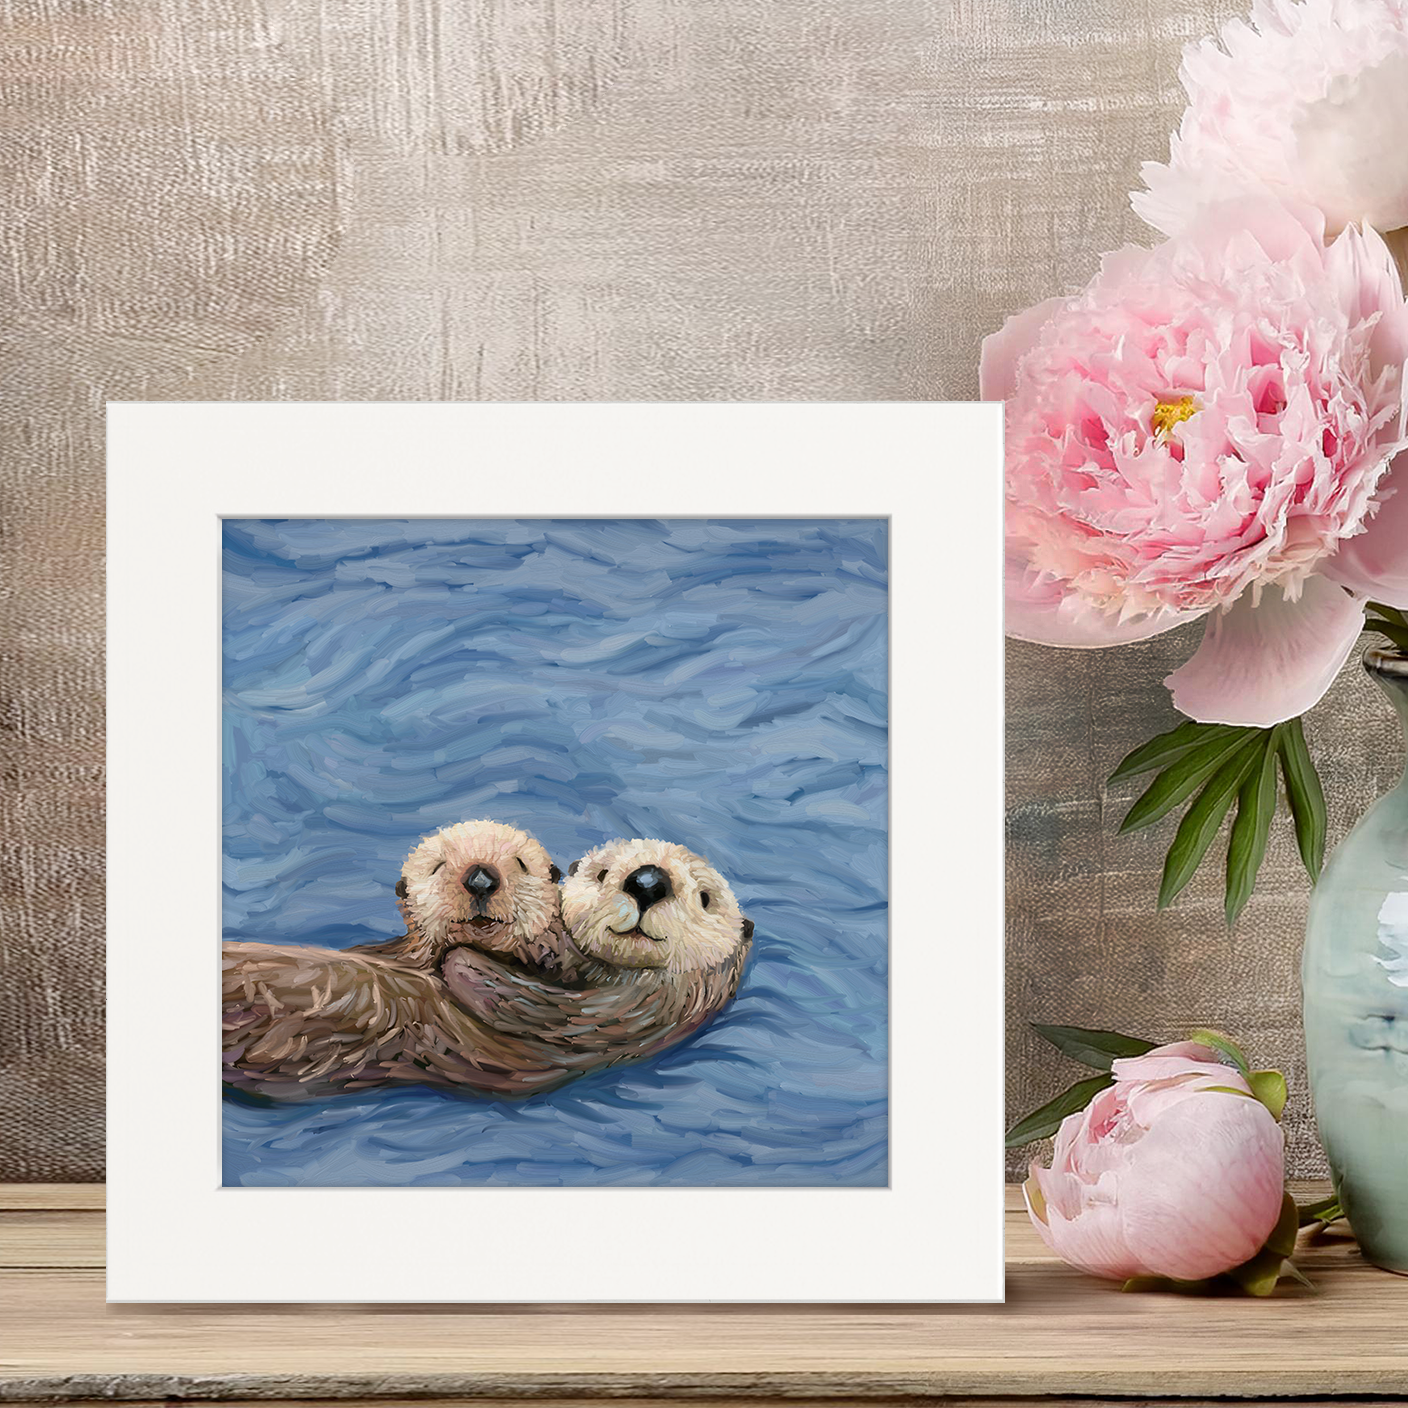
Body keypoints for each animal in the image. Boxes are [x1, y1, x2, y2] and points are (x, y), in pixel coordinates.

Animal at [222, 826, 752, 1100]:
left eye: (706, 898)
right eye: (604, 873)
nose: (647, 881)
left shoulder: (631, 1011)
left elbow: (530, 1003)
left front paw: (464, 962)